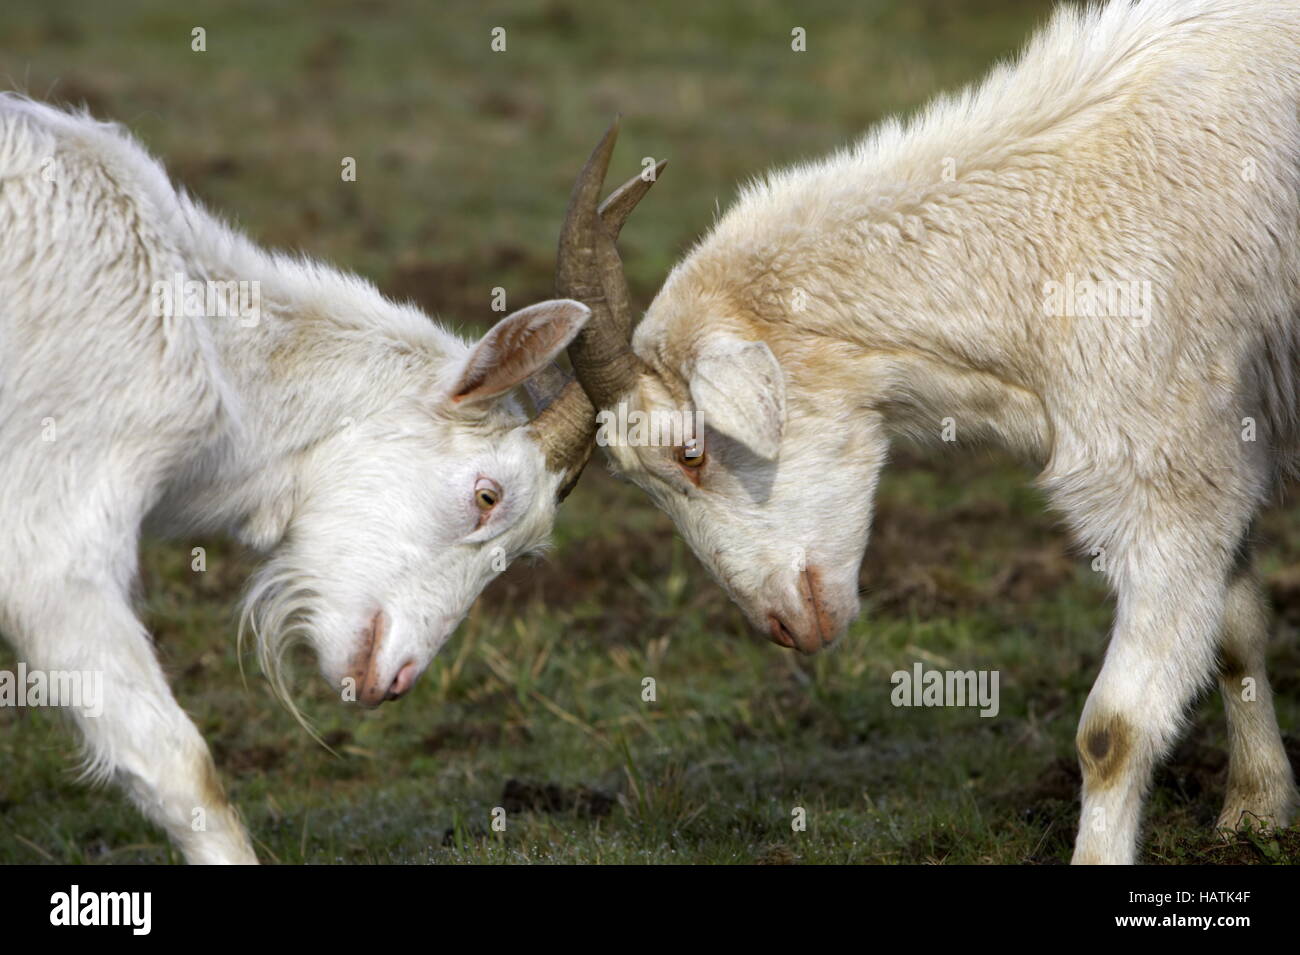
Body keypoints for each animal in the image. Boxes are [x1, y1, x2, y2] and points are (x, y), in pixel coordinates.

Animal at [566, 1, 1300, 867]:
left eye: (693, 448)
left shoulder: (1169, 475)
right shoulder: (1222, 449)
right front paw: (1257, 809)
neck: (1051, 233)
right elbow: (1238, 634)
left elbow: (1111, 731)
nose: (786, 628)